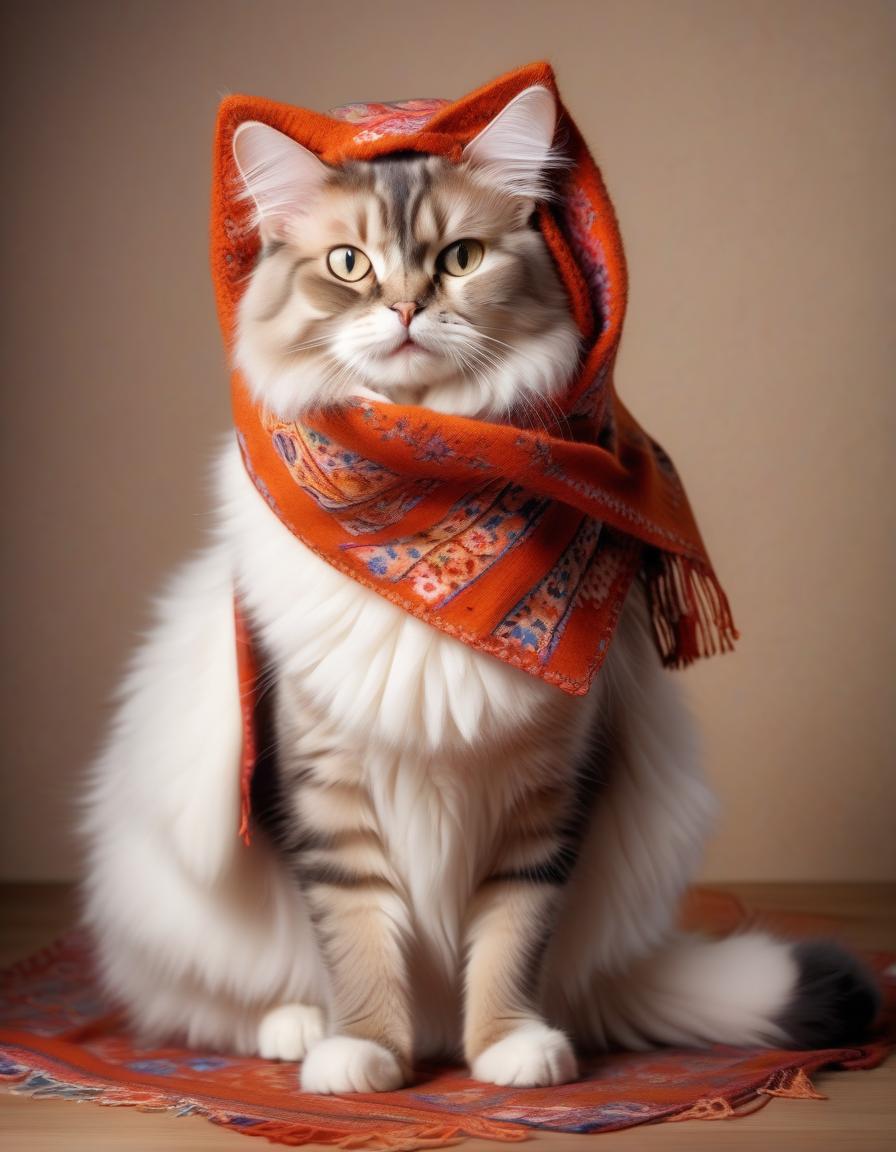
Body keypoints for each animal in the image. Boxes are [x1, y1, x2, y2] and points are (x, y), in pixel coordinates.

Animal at [80, 85, 875, 1092]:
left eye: (460, 258)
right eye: (348, 264)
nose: (406, 308)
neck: (429, 508)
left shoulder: (547, 794)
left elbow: (511, 935)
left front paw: (506, 1046)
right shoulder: (324, 789)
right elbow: (357, 937)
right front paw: (367, 1052)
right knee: (224, 1002)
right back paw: (299, 1030)